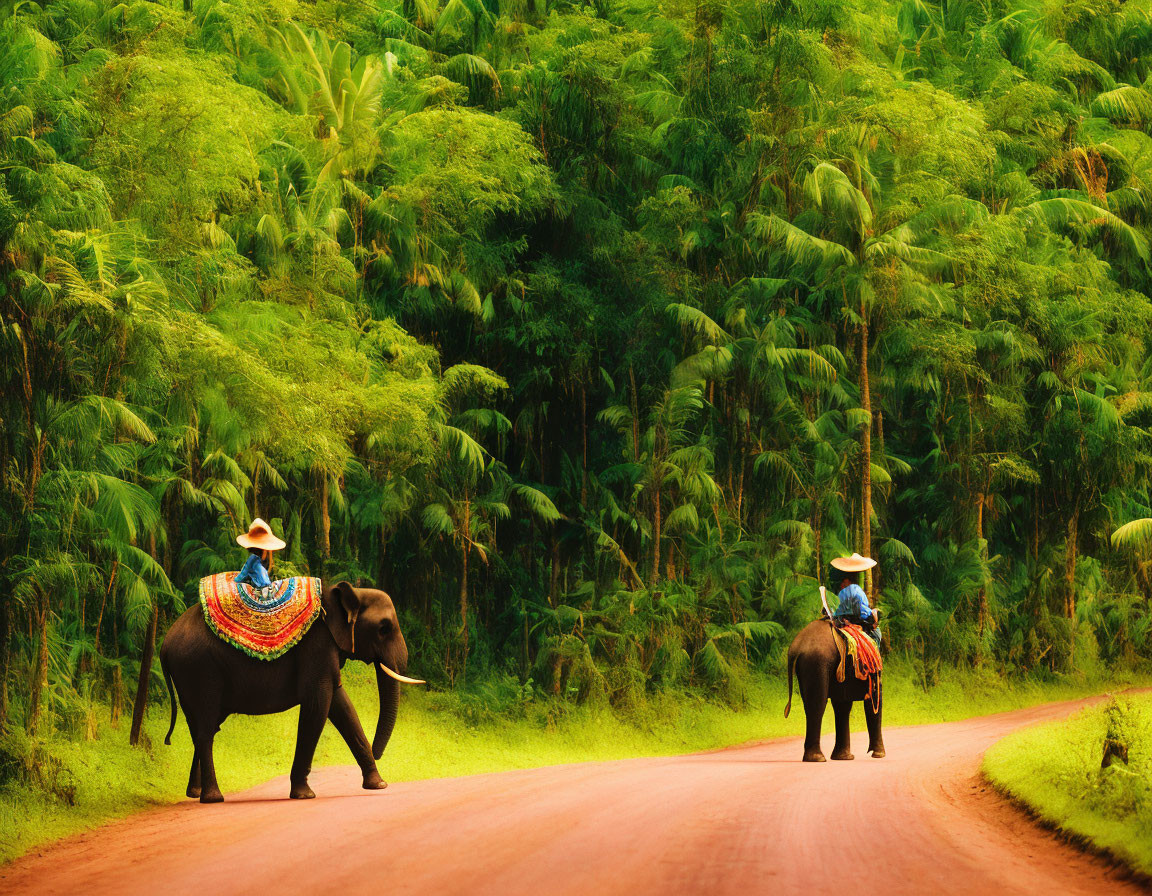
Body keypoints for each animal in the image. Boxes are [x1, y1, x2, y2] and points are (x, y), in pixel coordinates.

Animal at [156, 580, 419, 801]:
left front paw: (378, 785)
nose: (378, 752)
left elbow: (342, 706)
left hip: (188, 676)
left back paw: (194, 793)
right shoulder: (317, 647)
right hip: (200, 670)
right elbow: (318, 705)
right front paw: (304, 795)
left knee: (200, 728)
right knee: (206, 728)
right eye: (384, 628)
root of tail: (164, 647)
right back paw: (213, 798)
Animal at [783, 621, 889, 760]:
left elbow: (842, 704)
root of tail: (796, 646)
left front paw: (843, 757)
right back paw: (818, 758)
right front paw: (879, 755)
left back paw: (813, 758)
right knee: (818, 704)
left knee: (810, 704)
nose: (871, 752)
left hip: (808, 665)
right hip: (817, 662)